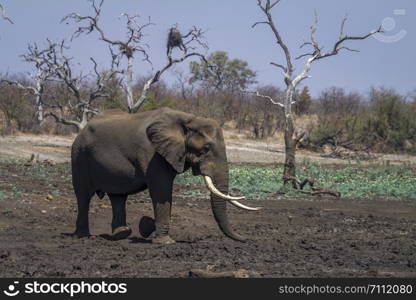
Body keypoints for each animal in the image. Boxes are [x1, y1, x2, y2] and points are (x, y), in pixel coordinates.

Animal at [71, 108, 260, 244]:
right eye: (205, 149)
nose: (246, 239)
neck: (188, 119)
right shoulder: (152, 153)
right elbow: (161, 189)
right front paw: (164, 241)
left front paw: (146, 227)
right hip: (79, 156)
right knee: (83, 195)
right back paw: (83, 236)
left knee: (118, 196)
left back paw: (121, 234)